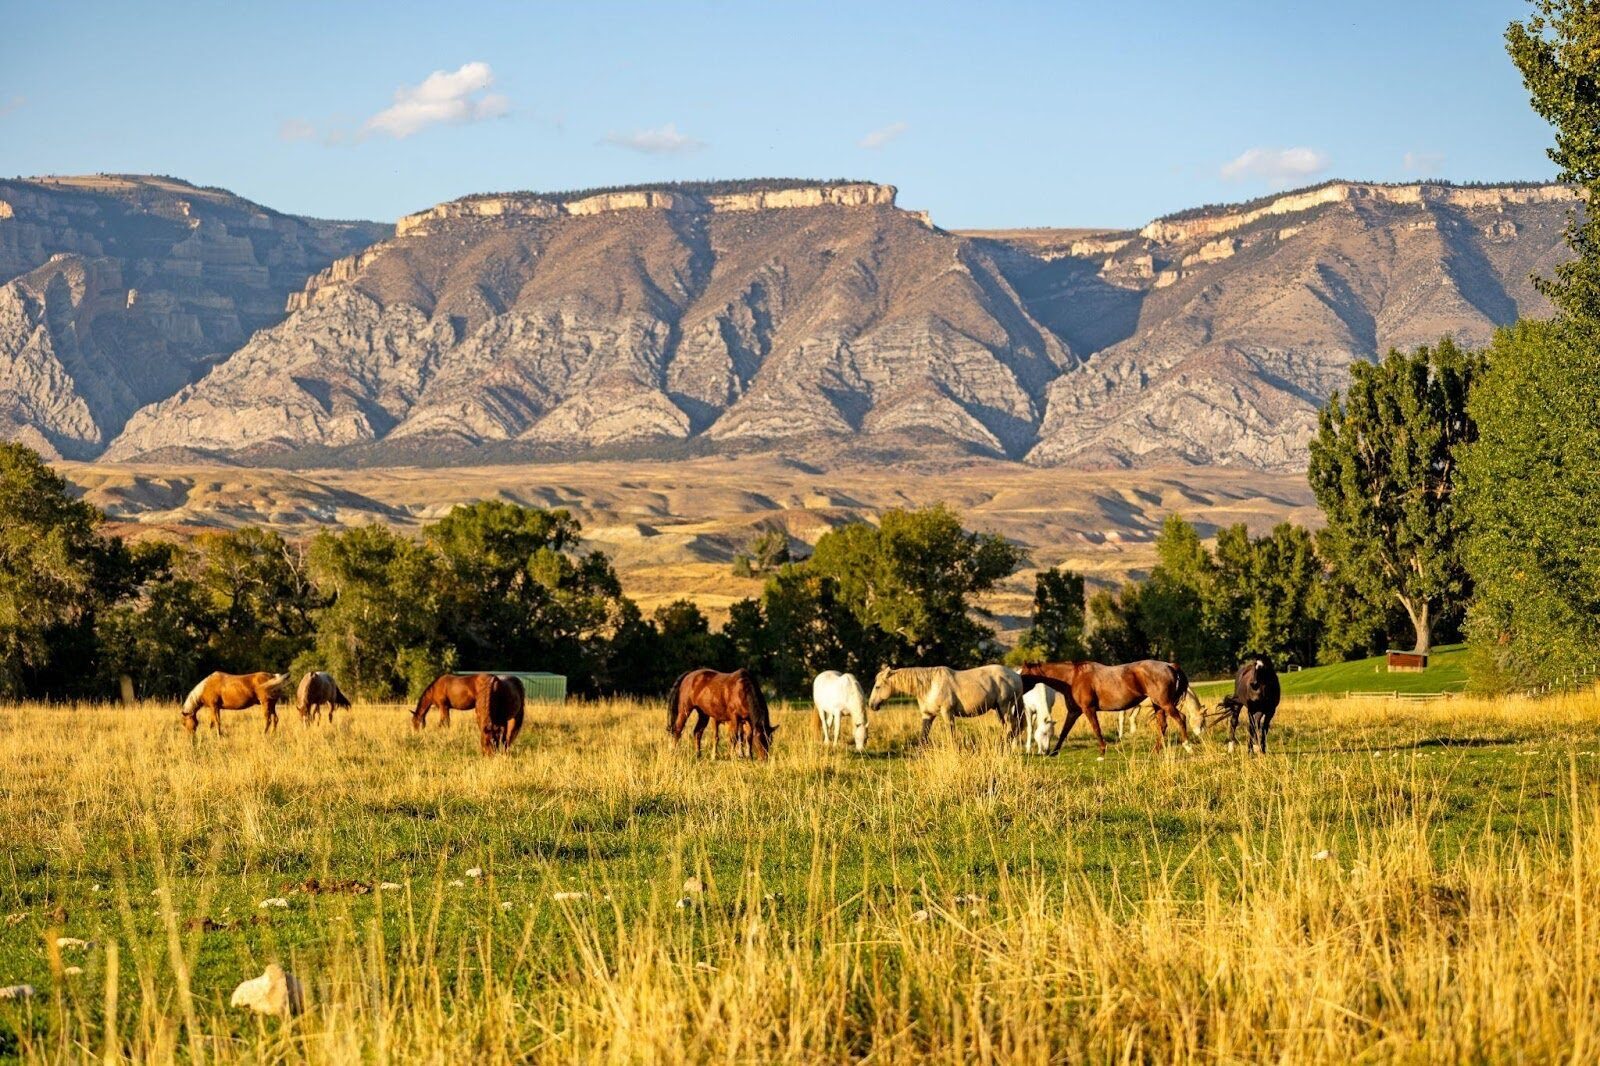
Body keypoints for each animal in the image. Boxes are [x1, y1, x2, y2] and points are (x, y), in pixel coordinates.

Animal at [865, 665, 1025, 745]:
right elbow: (923, 737)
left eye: (877, 687)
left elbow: (951, 735)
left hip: (1005, 706)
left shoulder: (947, 713)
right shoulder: (928, 715)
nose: (872, 705)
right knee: (1009, 728)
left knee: (1011, 727)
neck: (930, 685)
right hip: (998, 709)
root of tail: (1016, 675)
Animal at [1019, 660, 1194, 755]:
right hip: (1158, 705)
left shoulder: (1088, 710)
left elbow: (1096, 729)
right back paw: (1156, 750)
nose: (1019, 690)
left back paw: (1187, 746)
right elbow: (1064, 732)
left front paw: (1102, 751)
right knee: (1162, 725)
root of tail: (1169, 665)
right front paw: (1055, 752)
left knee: (1181, 718)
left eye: (1024, 675)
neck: (1073, 678)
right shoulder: (1074, 712)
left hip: (1165, 703)